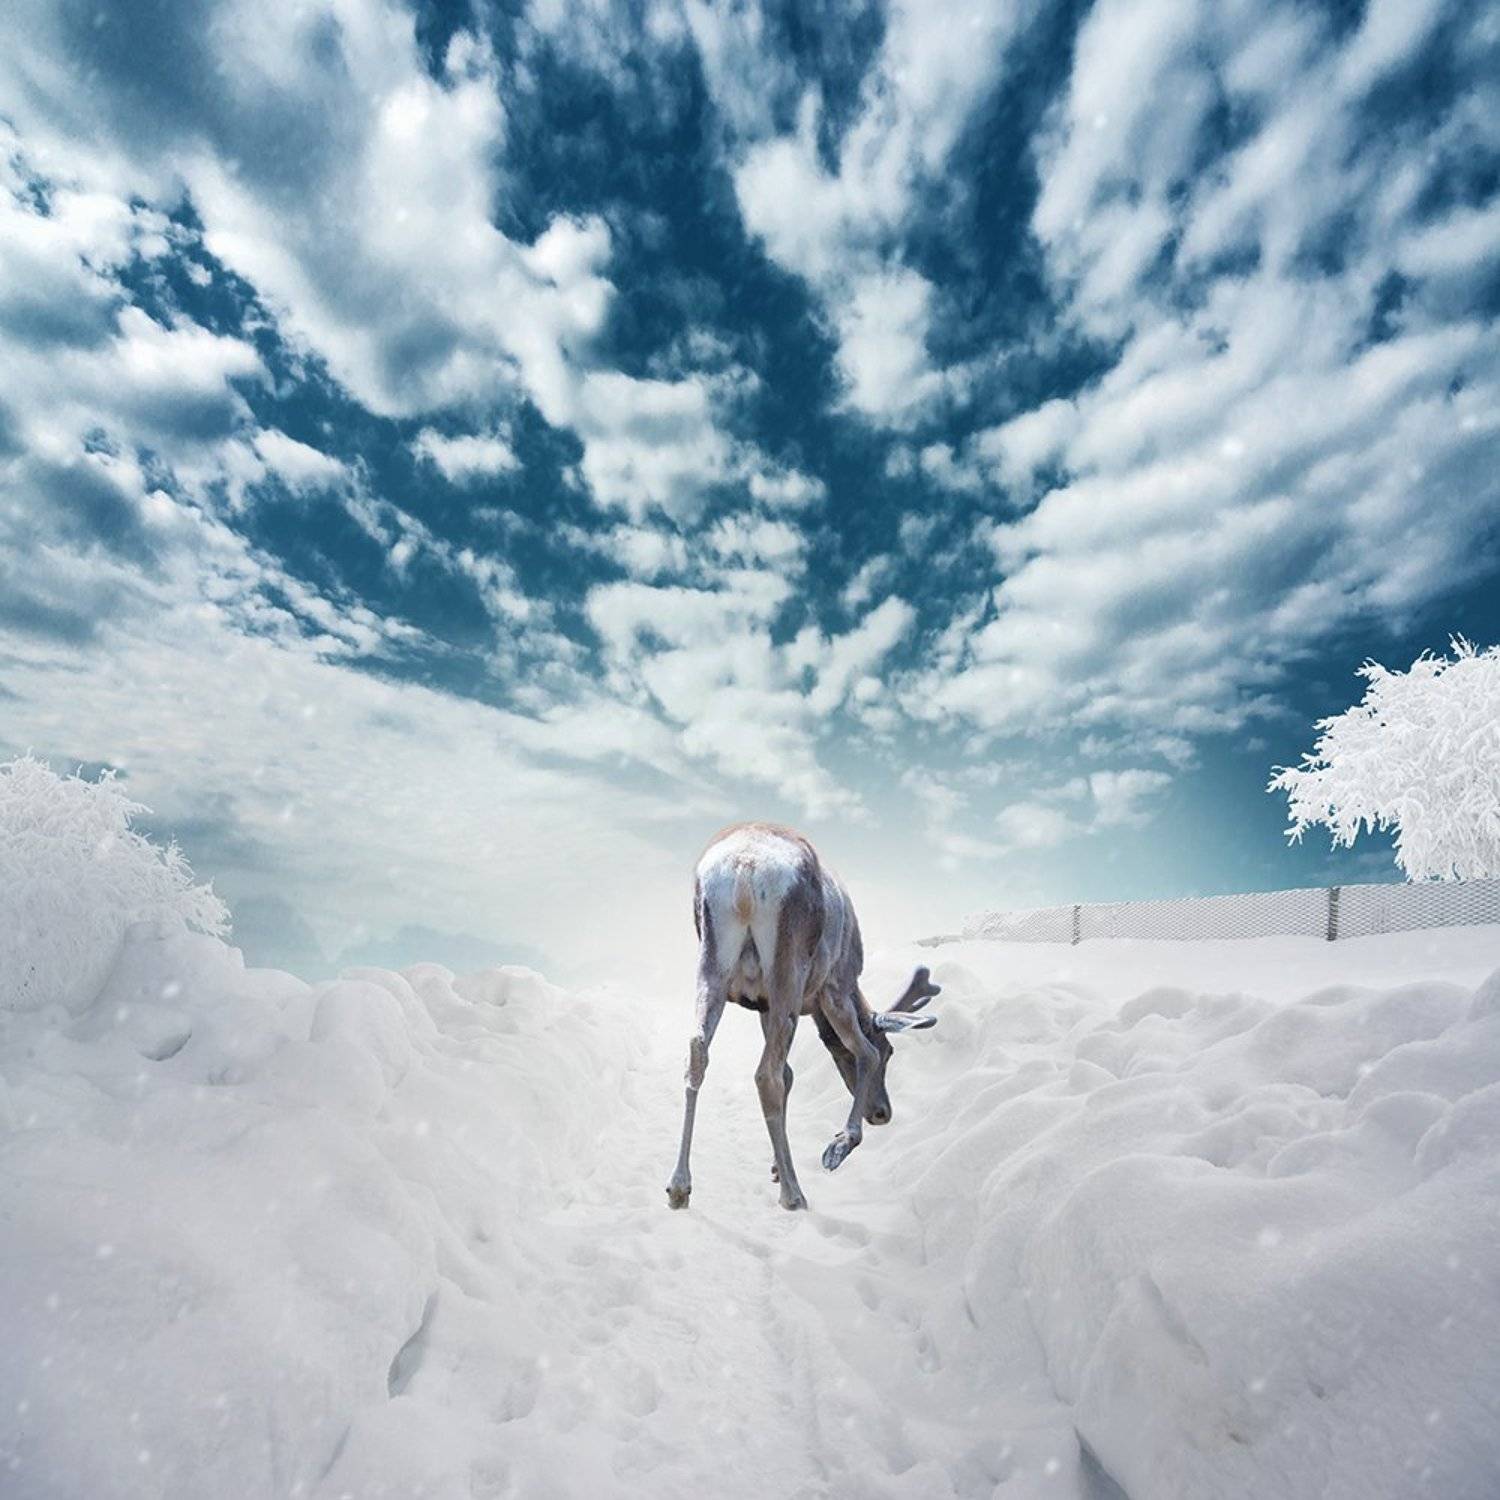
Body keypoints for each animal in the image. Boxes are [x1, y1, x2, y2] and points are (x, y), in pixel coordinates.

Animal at [666, 821, 940, 1211]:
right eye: (891, 1051)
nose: (882, 1113)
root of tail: (744, 870)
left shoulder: (763, 1005)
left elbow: (791, 1073)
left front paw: (775, 1166)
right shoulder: (836, 984)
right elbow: (863, 1052)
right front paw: (839, 1145)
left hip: (713, 965)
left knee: (698, 1053)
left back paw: (679, 1187)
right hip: (789, 971)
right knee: (766, 1075)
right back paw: (794, 1193)